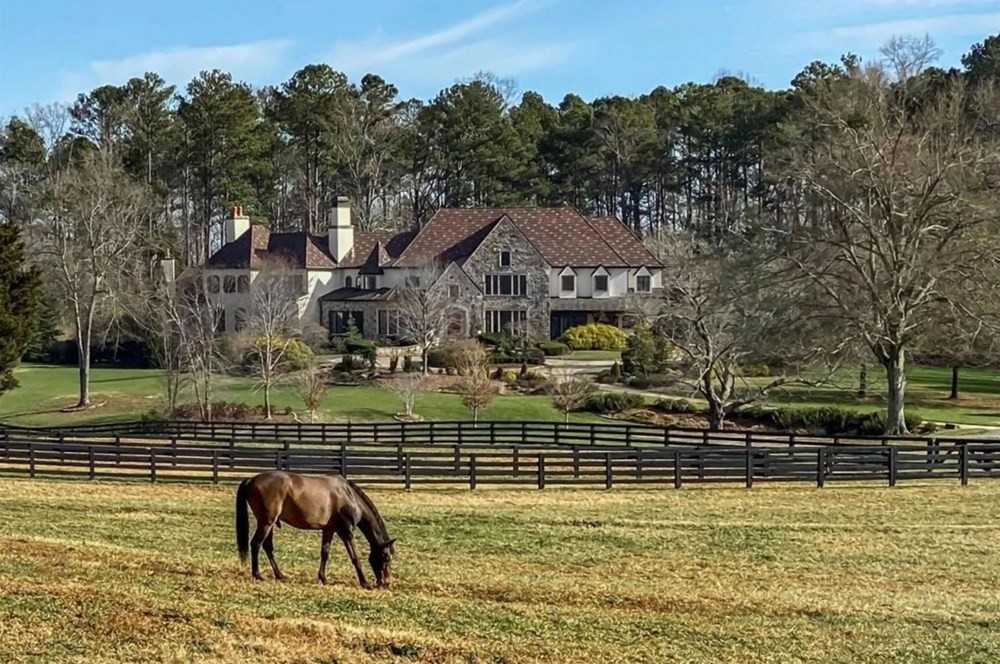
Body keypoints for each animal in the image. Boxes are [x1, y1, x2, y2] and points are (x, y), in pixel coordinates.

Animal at [234, 470, 394, 588]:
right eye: (386, 556)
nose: (386, 582)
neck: (349, 495)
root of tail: (252, 480)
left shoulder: (329, 530)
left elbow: (325, 553)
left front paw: (323, 578)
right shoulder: (345, 532)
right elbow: (354, 557)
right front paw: (365, 583)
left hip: (269, 523)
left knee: (267, 547)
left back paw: (279, 575)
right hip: (266, 523)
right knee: (256, 544)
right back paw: (257, 575)